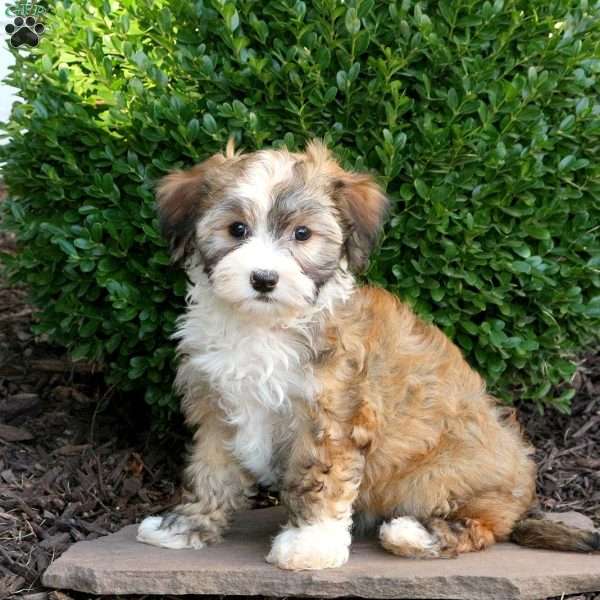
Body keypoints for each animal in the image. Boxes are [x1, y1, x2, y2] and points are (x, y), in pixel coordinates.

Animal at [137, 139, 600, 568]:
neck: (264, 324)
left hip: (438, 476)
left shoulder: (333, 414)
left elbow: (324, 479)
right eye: (236, 230)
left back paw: (411, 534)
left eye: (302, 234)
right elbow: (211, 470)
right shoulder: (218, 405)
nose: (264, 279)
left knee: (478, 528)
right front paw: (187, 525)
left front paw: (309, 546)